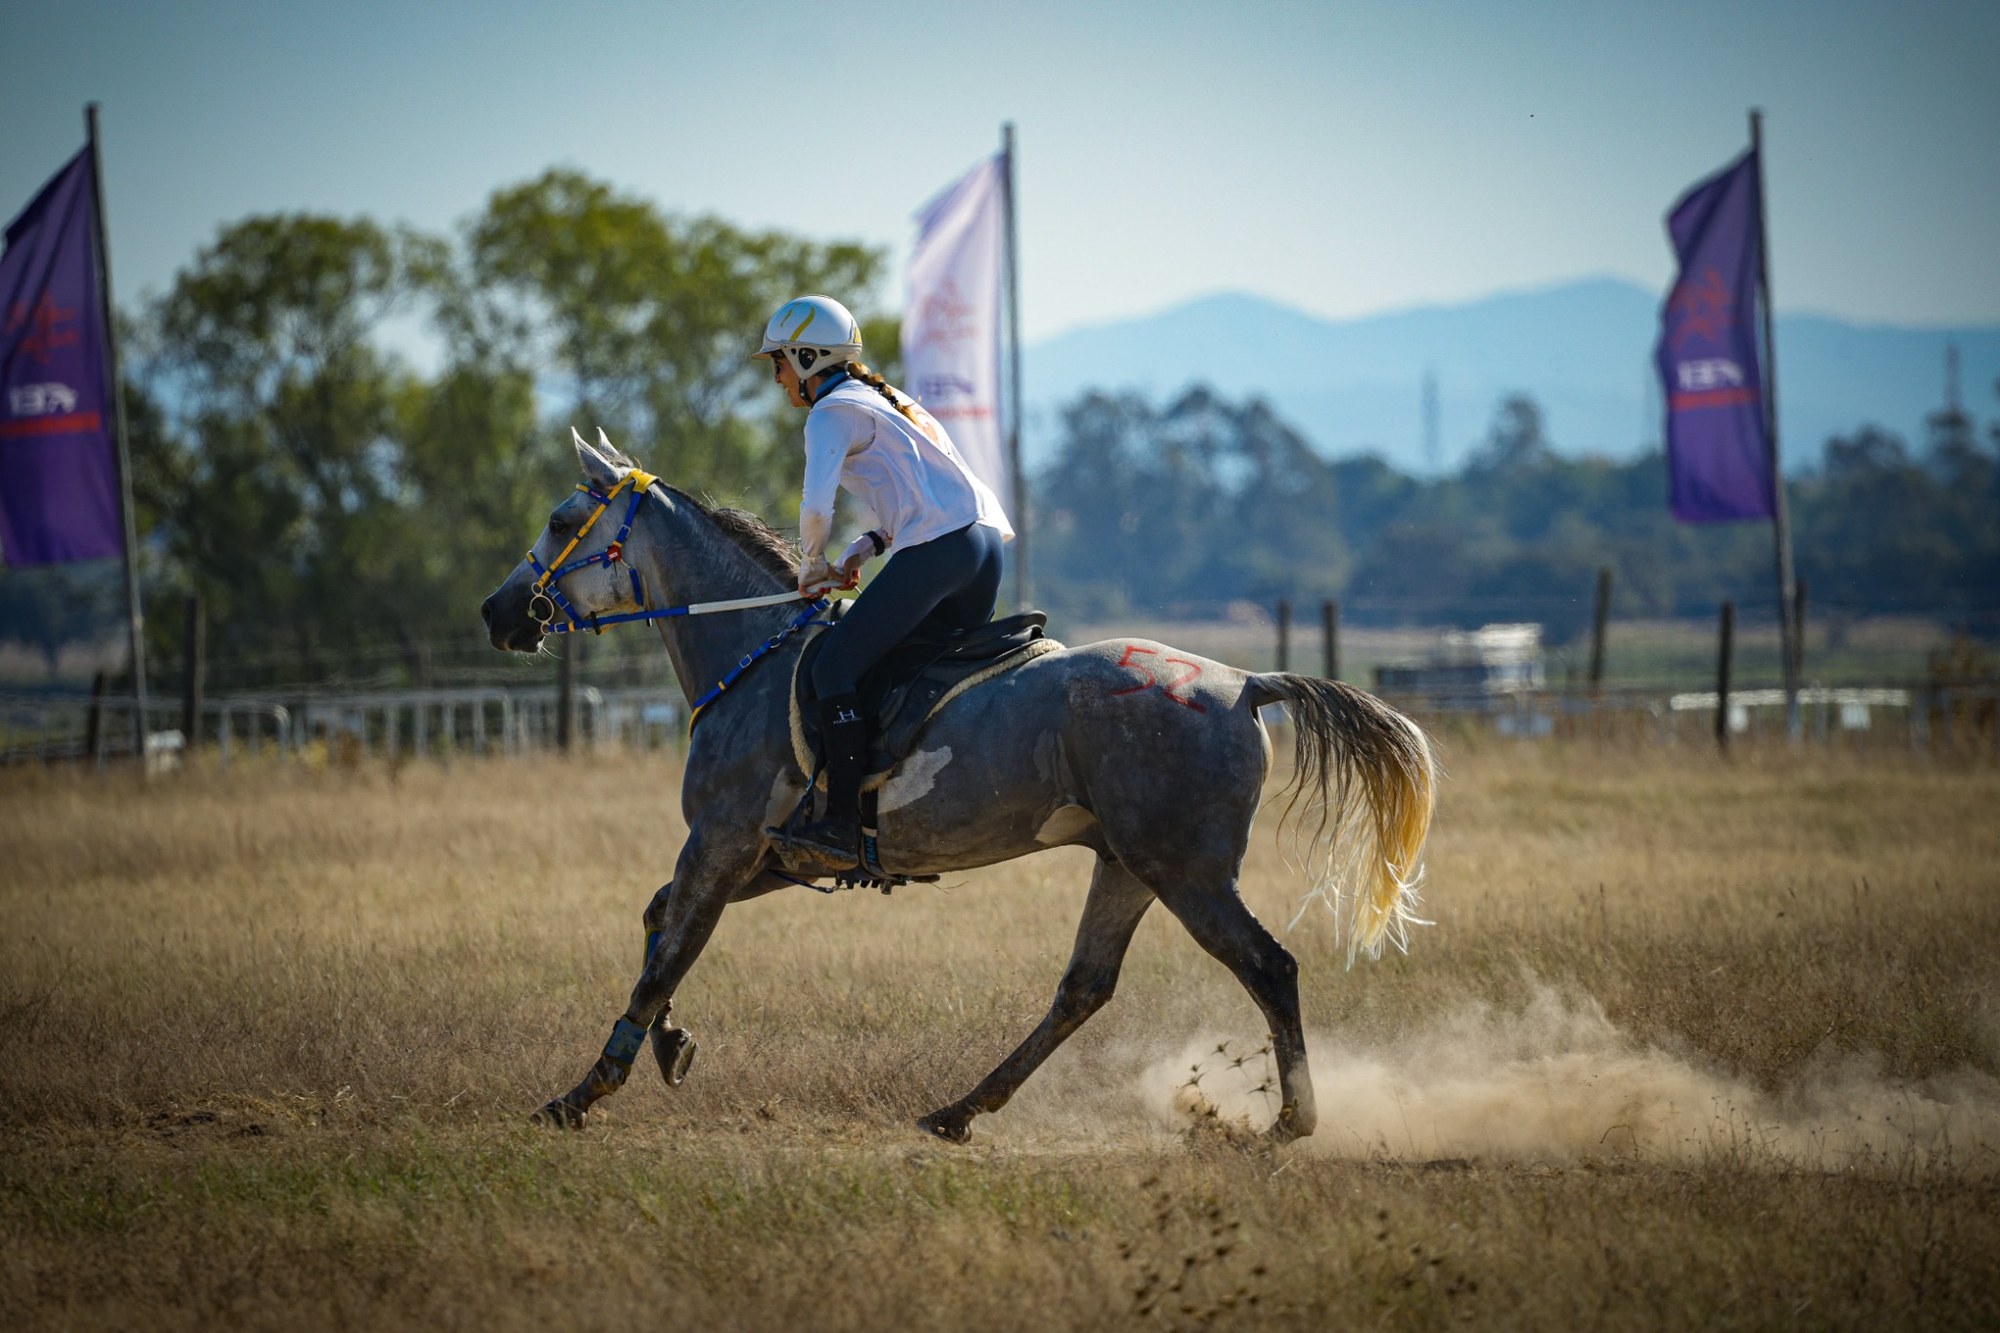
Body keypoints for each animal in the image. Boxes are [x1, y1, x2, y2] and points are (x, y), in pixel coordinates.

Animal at [480, 432, 1437, 1144]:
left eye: (563, 517)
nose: (498, 612)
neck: (750, 654)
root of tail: (1243, 683)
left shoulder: (720, 843)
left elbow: (664, 957)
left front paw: (583, 1091)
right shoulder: (766, 858)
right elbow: (657, 927)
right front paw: (672, 1047)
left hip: (1187, 873)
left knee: (1268, 967)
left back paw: (1288, 1125)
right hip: (1130, 864)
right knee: (1084, 987)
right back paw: (960, 1110)